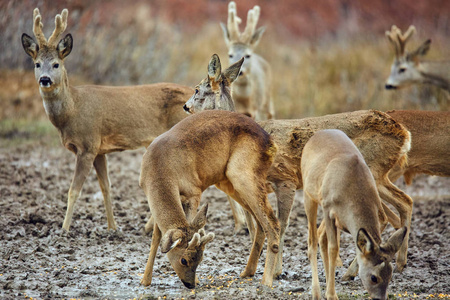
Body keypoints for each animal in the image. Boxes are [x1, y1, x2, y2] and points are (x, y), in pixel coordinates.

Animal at [20, 8, 192, 231]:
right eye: (37, 64)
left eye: (56, 64)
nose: (45, 79)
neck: (73, 109)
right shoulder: (99, 150)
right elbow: (106, 187)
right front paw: (113, 227)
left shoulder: (87, 144)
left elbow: (73, 190)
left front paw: (64, 230)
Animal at [184, 54, 414, 278]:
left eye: (197, 89)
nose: (186, 106)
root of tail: (404, 133)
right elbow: (255, 224)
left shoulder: (286, 180)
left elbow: (280, 223)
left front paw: (276, 271)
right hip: (378, 176)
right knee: (404, 202)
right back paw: (398, 263)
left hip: (370, 171)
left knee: (384, 214)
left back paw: (352, 271)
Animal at [302, 129, 408, 300]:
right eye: (374, 277)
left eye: (390, 274)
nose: (380, 298)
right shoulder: (328, 209)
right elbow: (333, 248)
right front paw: (332, 295)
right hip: (309, 195)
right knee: (312, 240)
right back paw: (316, 292)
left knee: (321, 237)